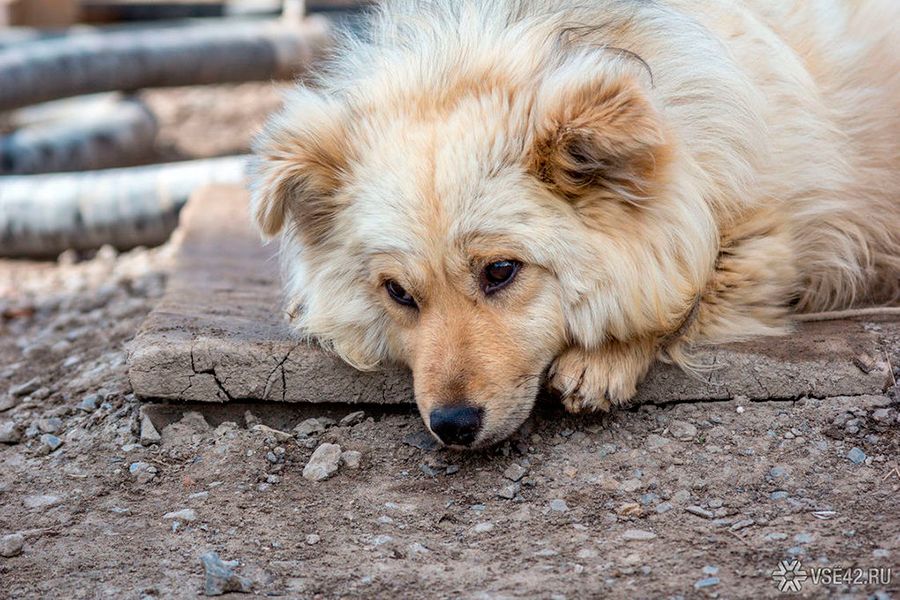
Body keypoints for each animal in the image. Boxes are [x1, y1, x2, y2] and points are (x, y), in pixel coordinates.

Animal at [251, 0, 900, 448]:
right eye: (397, 292)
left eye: (501, 271)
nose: (452, 424)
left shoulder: (765, 239)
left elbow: (681, 289)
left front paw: (604, 357)